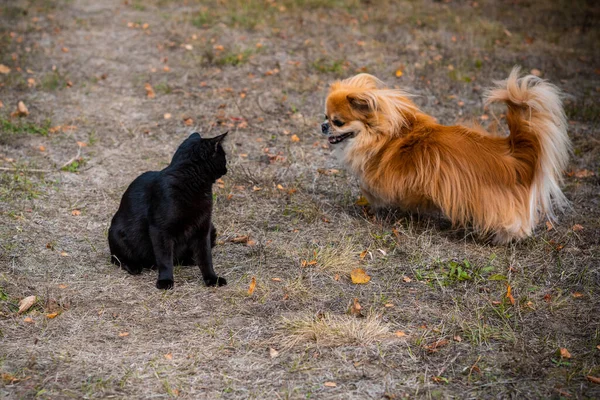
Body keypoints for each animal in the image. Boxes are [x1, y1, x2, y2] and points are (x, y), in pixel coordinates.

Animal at [106, 133, 229, 290]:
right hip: (117, 234)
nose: (226, 168)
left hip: (212, 229)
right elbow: (165, 259)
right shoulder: (160, 230)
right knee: (117, 258)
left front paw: (212, 279)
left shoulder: (203, 228)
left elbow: (206, 257)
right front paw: (165, 281)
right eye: (223, 156)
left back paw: (189, 260)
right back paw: (134, 266)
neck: (191, 183)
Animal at [324, 68, 572, 244]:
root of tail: (510, 151)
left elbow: (370, 189)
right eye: (325, 116)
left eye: (338, 122)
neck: (383, 135)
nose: (323, 126)